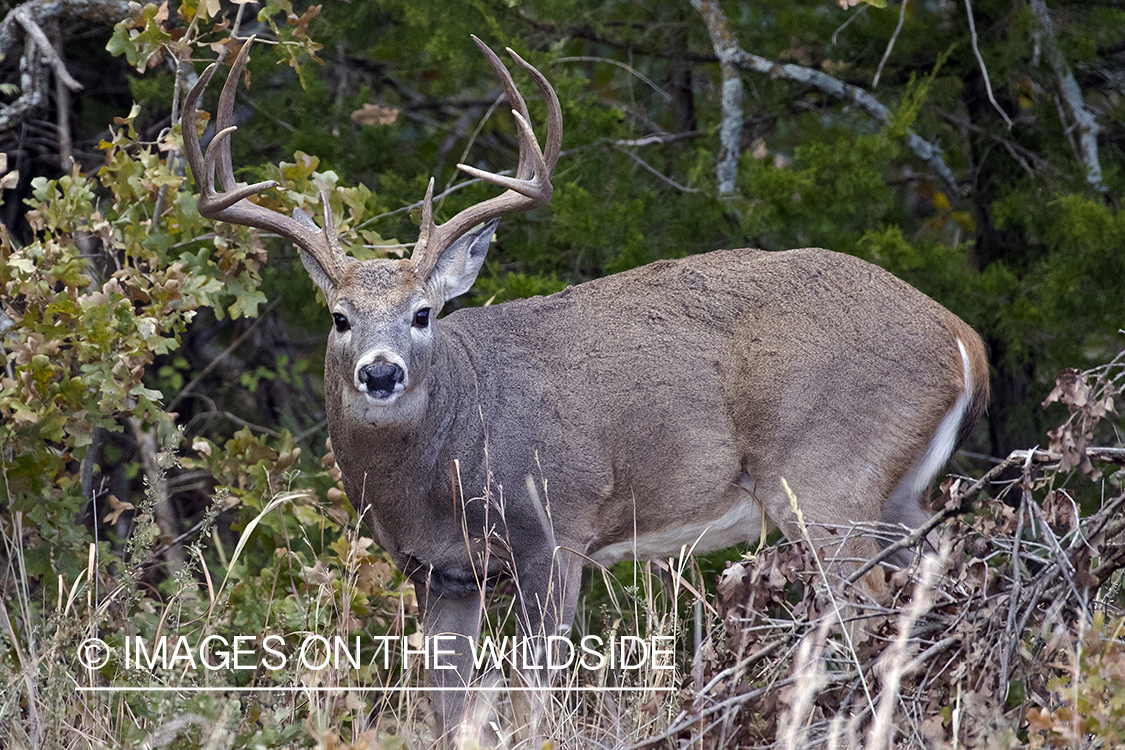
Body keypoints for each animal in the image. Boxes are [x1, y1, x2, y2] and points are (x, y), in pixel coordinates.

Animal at [184, 35, 985, 746]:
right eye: (339, 317)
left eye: (422, 313)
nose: (381, 372)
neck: (444, 463)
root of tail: (962, 337)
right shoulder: (439, 572)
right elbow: (448, 709)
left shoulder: (554, 530)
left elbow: (533, 695)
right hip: (895, 493)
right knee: (939, 590)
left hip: (825, 478)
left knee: (874, 615)